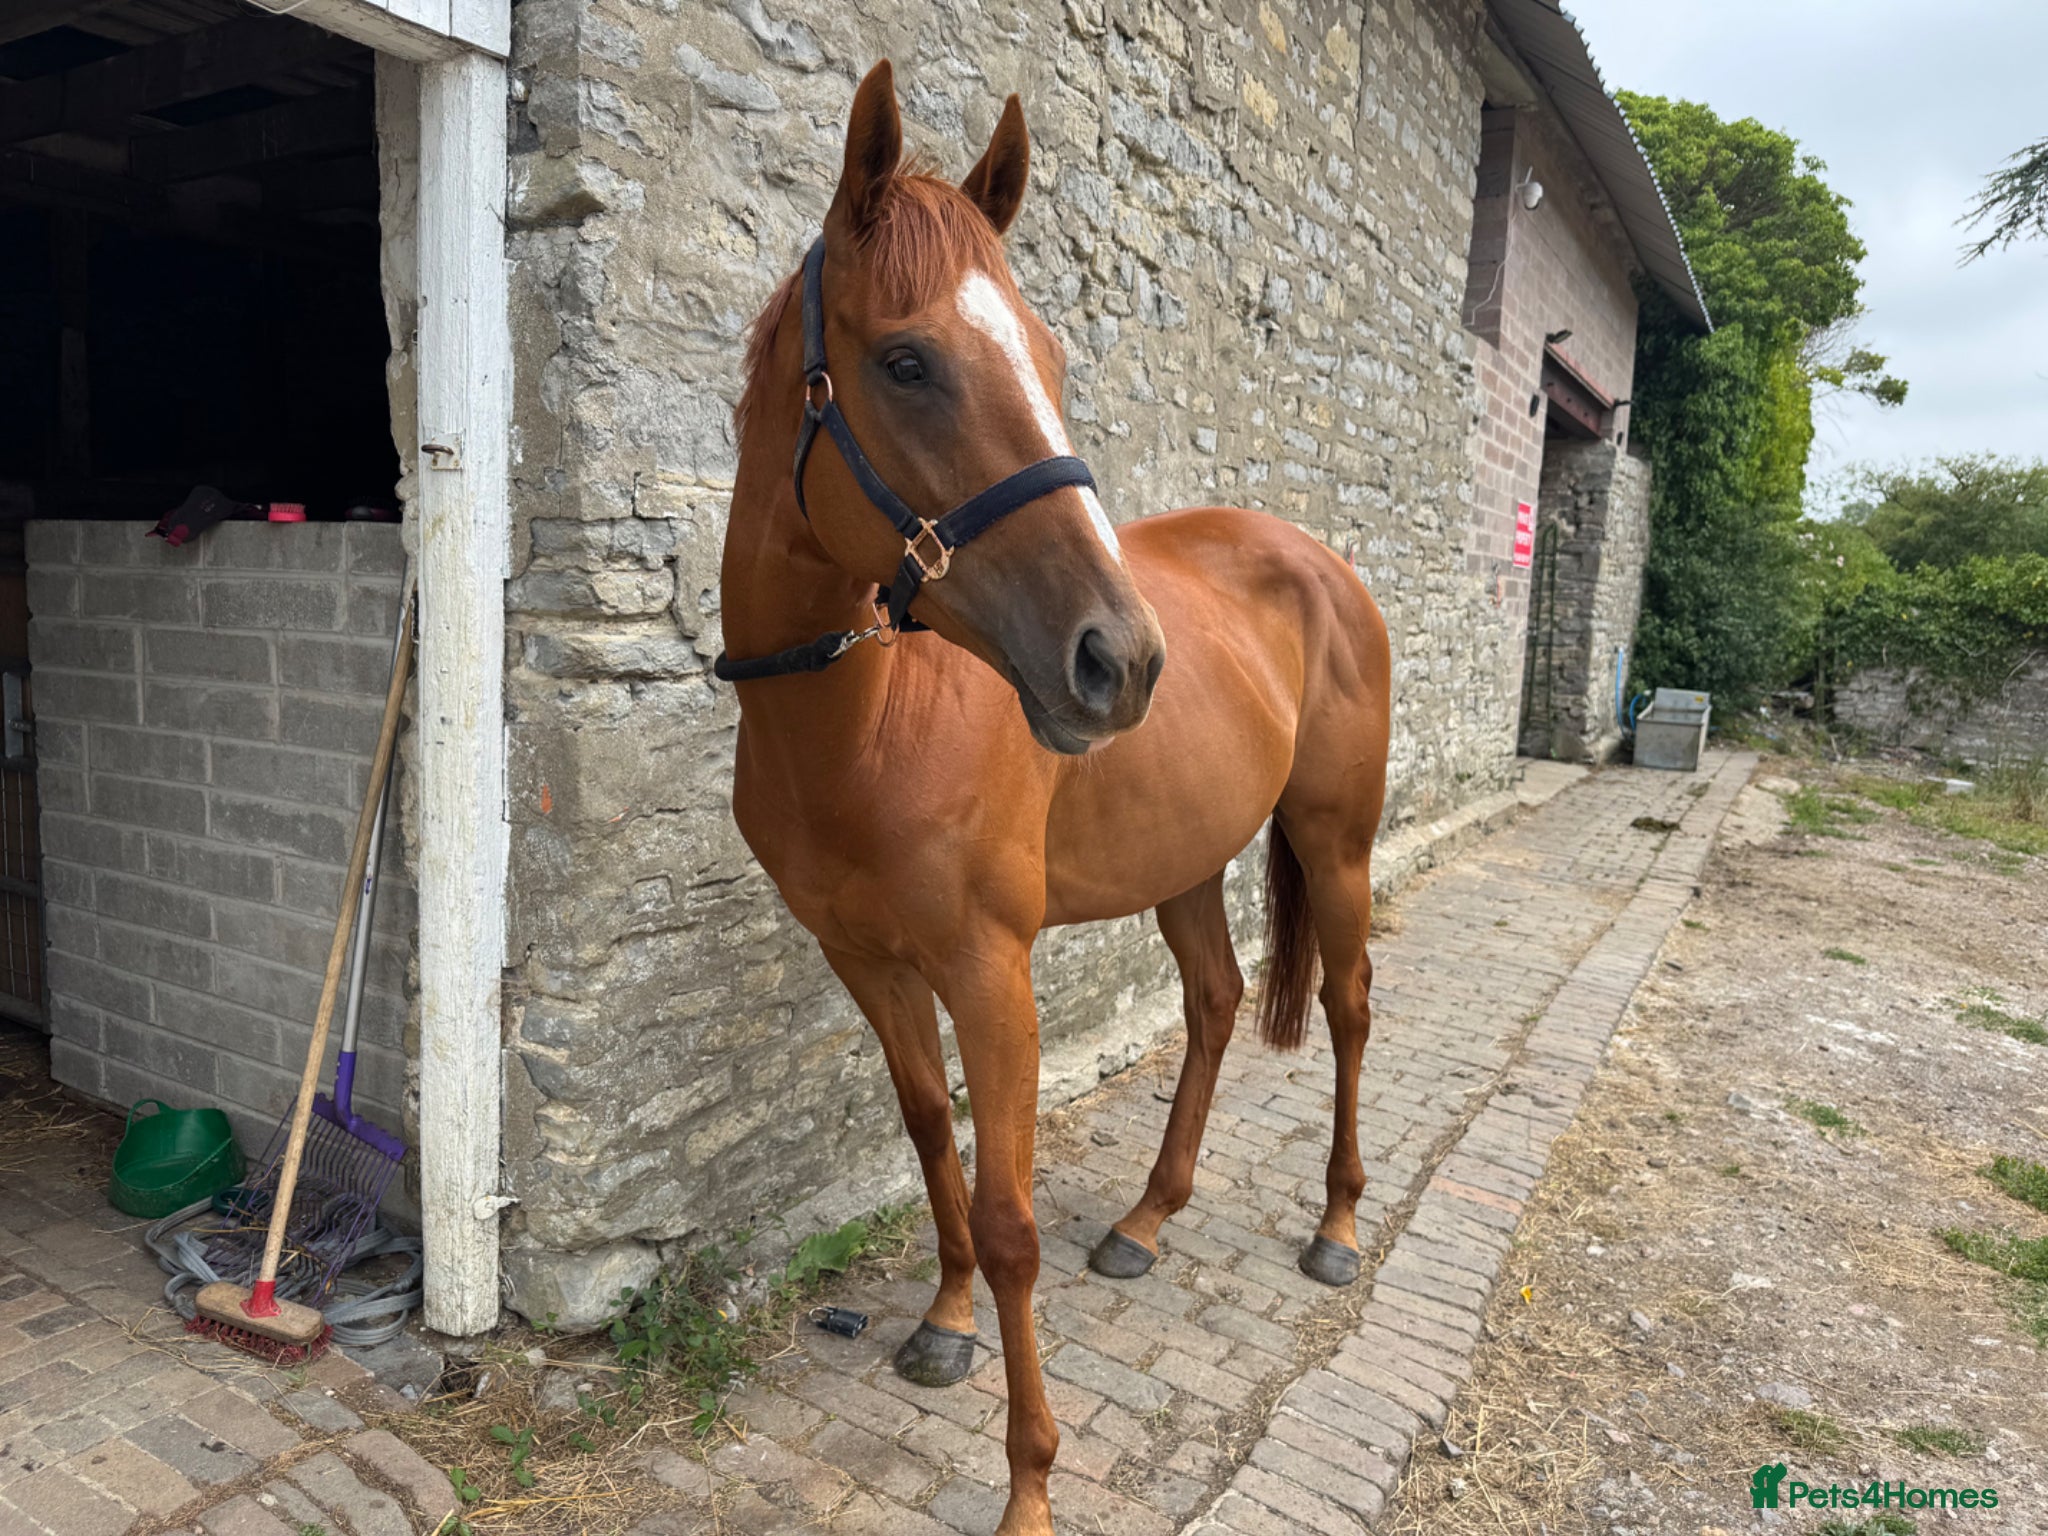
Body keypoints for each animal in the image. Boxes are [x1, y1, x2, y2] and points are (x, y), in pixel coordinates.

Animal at [718, 60, 1391, 1536]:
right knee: (1212, 1003)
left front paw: (1028, 1482)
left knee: (1350, 1011)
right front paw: (944, 1319)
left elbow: (1011, 1213)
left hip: (1336, 843)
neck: (867, 719)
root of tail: (1319, 561)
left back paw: (1334, 1227)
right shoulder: (866, 960)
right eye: (906, 360)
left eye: (1051, 358)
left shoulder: (991, 972)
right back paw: (1148, 1218)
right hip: (1188, 858)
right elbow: (931, 1138)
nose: (1118, 660)